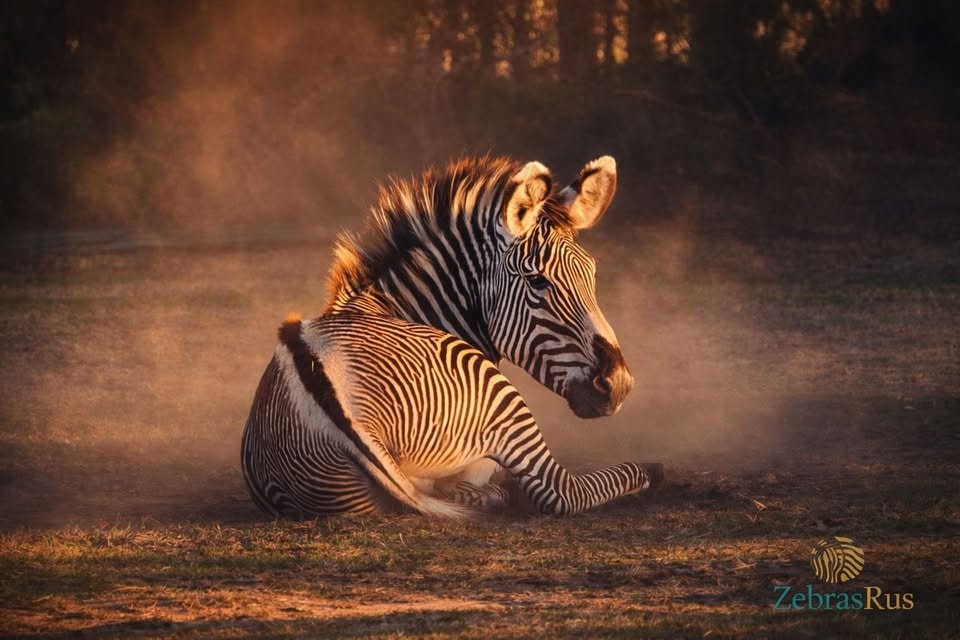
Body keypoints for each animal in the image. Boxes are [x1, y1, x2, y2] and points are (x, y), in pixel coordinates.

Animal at [241, 155, 663, 518]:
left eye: (591, 274)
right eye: (537, 280)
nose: (618, 384)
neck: (389, 308)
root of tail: (346, 416)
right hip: (499, 396)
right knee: (560, 492)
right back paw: (648, 471)